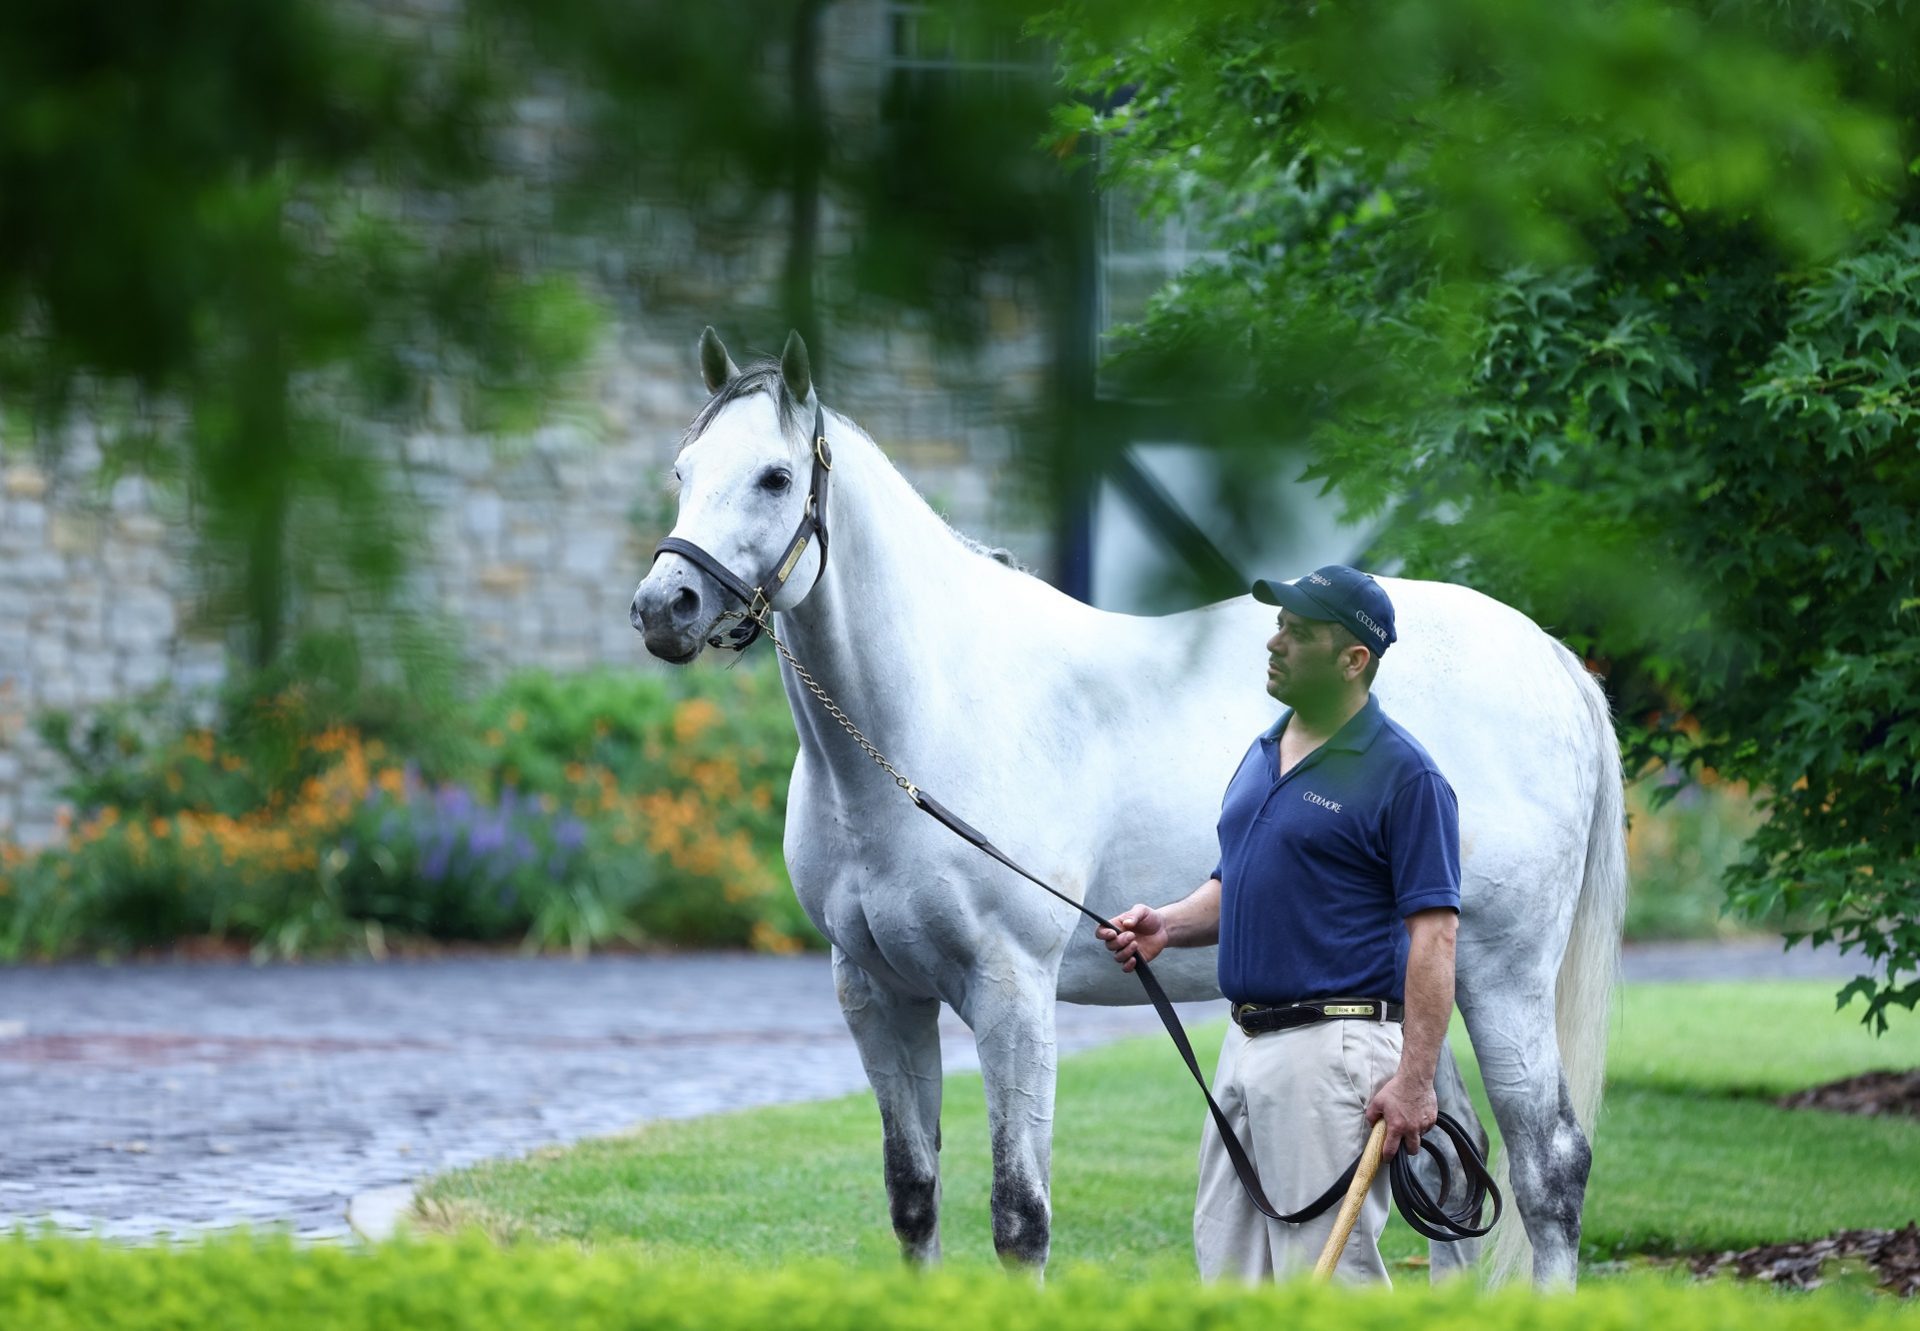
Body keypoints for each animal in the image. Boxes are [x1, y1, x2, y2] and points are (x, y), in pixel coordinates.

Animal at [629, 326, 1620, 1282]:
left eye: (775, 475)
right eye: (683, 470)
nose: (663, 607)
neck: (929, 716)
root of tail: (1554, 662)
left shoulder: (1012, 991)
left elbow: (1019, 1215)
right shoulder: (876, 992)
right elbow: (913, 1199)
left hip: (1499, 975)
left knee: (1550, 1166)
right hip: (1421, 985)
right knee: (1441, 1157)